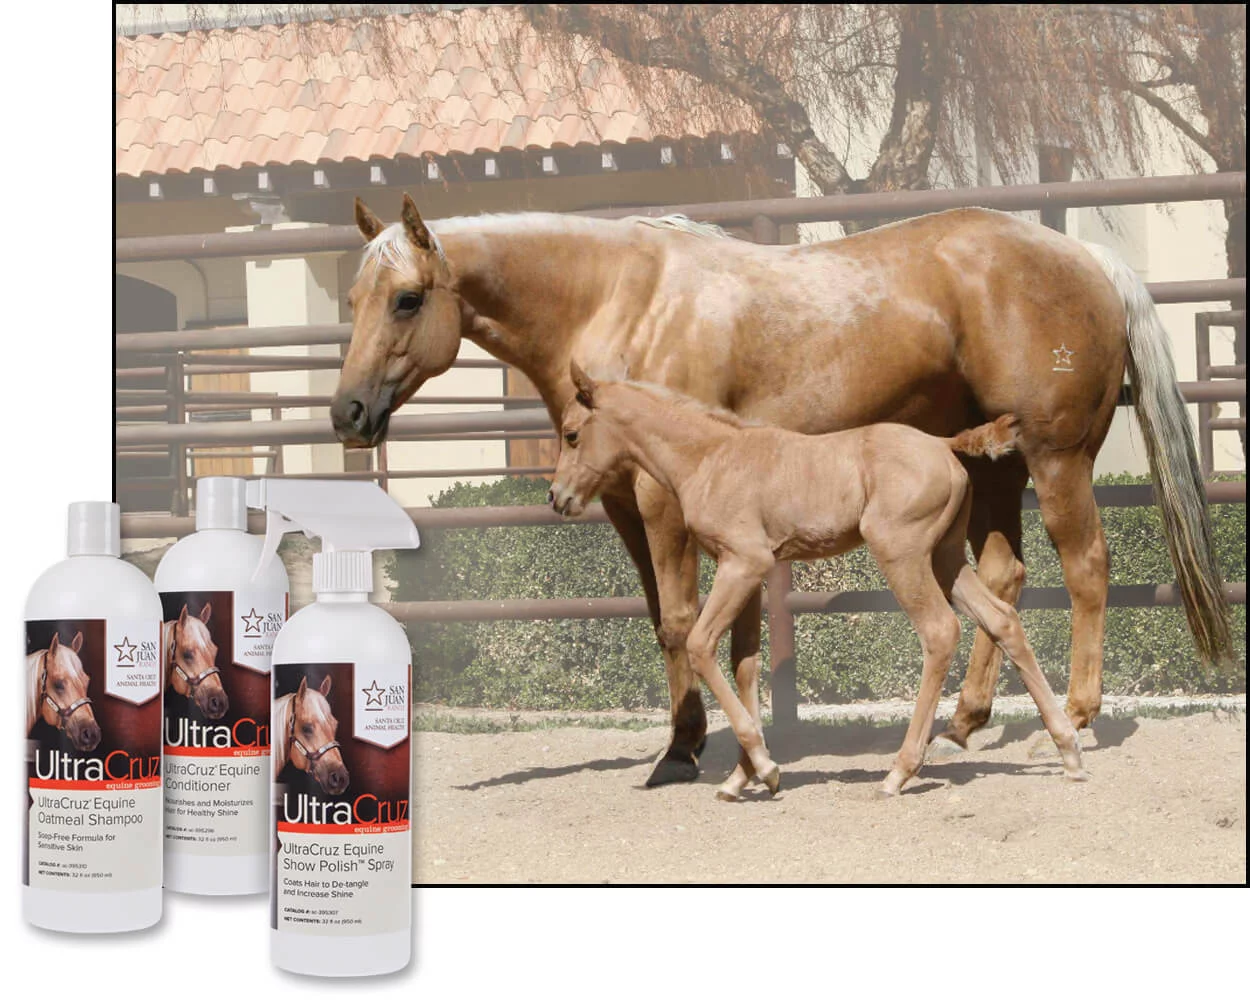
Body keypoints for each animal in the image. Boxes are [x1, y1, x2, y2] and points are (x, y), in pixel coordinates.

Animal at [550, 363, 1086, 798]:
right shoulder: (748, 570)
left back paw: (899, 772)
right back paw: (1068, 751)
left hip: (903, 554)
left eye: (572, 434)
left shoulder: (742, 563)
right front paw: (742, 777)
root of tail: (942, 444)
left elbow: (701, 646)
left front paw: (765, 768)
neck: (710, 457)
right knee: (1002, 619)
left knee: (940, 632)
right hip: (945, 557)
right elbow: (745, 664)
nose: (557, 497)